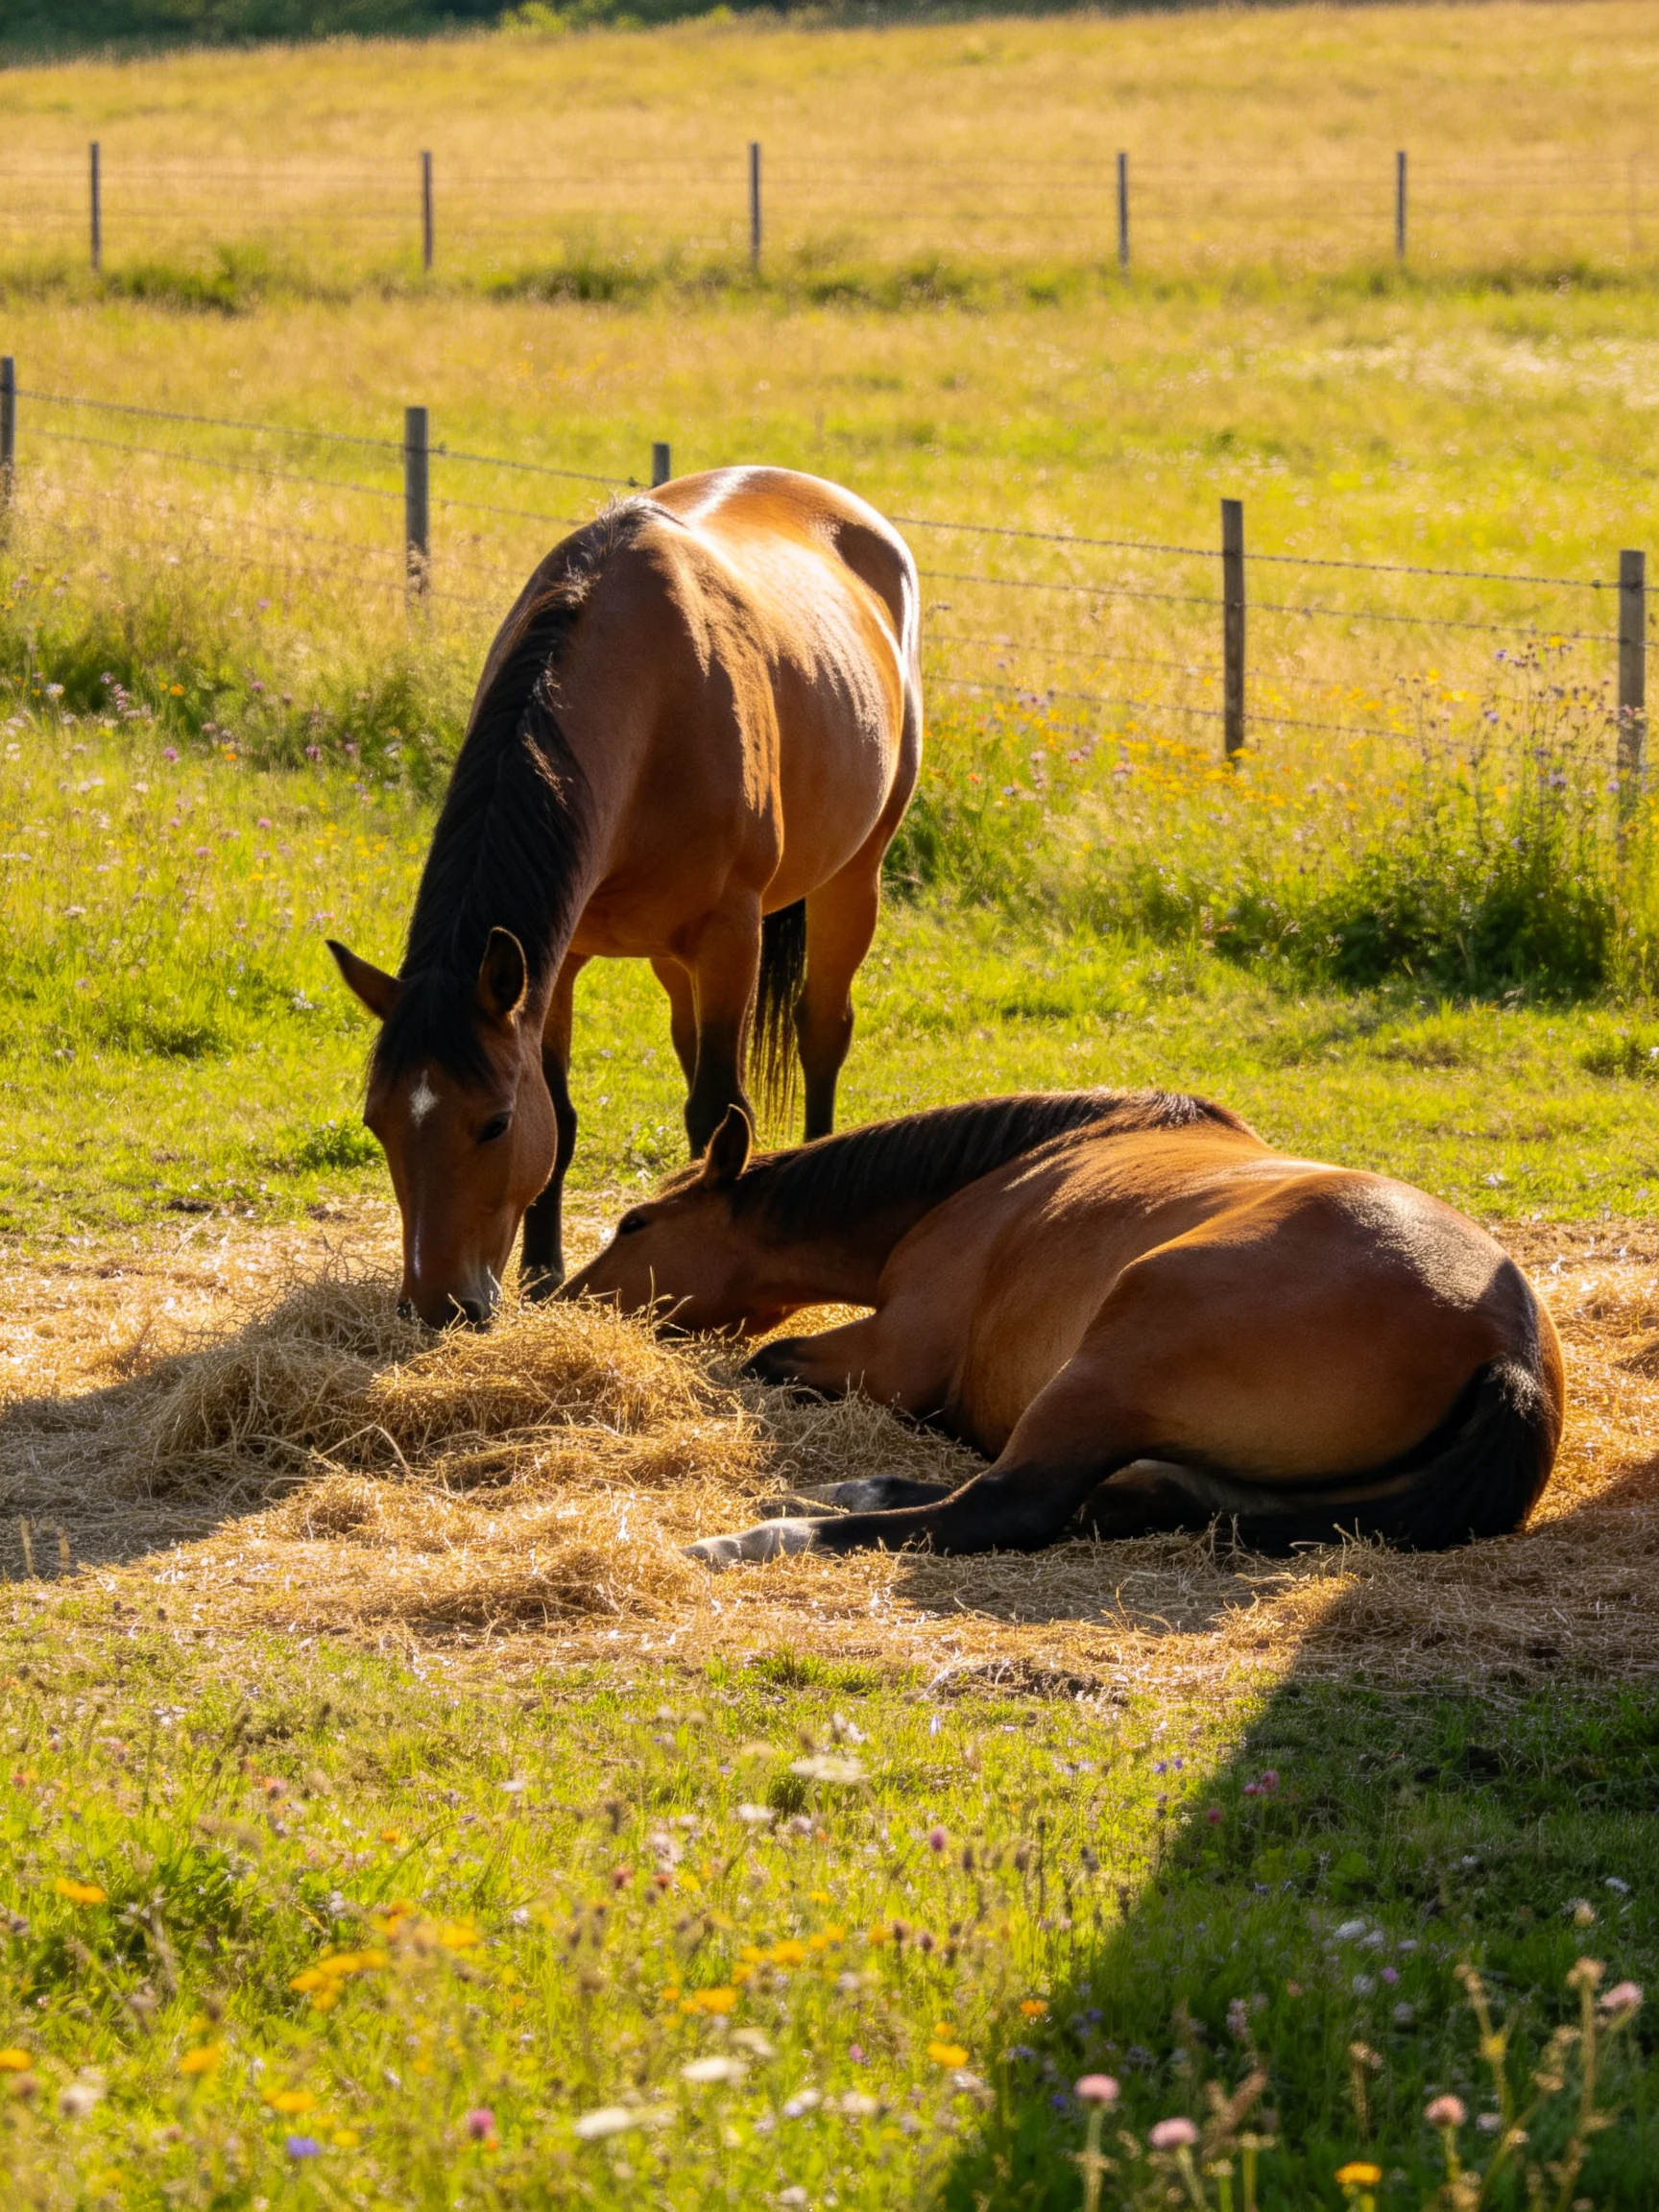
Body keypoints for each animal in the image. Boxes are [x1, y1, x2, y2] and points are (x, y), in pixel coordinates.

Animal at [326, 468, 922, 1328]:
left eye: (494, 1124)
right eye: (377, 1121)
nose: (438, 1306)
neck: (650, 700)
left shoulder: (730, 934)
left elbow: (718, 1108)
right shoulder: (555, 959)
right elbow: (567, 1114)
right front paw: (543, 1274)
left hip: (851, 879)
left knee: (821, 1030)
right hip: (673, 957)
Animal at [560, 1089, 1564, 1566]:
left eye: (634, 1224)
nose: (563, 1299)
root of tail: (1507, 1352)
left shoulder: (891, 1354)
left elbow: (770, 1359)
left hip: (1106, 1367)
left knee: (1007, 1506)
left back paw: (761, 1537)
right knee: (1127, 1499)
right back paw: (849, 1490)